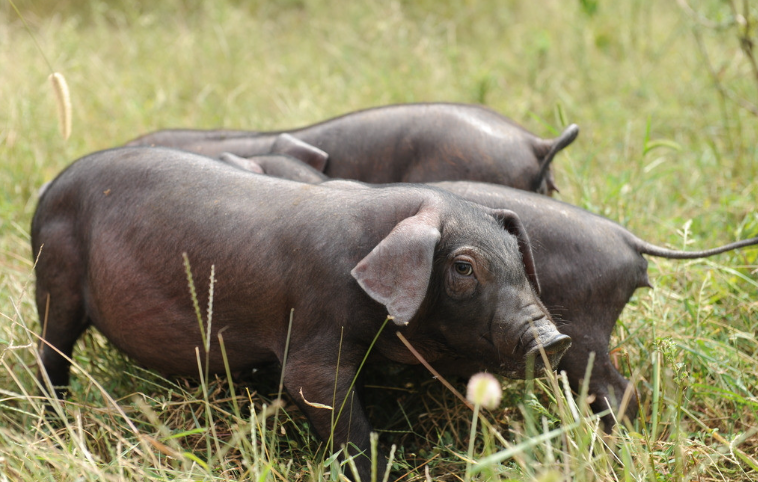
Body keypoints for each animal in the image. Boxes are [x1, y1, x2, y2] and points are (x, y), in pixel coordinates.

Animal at [32, 149, 572, 480]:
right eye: (463, 268)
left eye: (517, 256)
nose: (553, 338)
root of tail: (48, 190)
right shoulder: (312, 336)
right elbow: (328, 404)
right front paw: (378, 468)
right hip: (55, 279)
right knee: (52, 352)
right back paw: (54, 420)